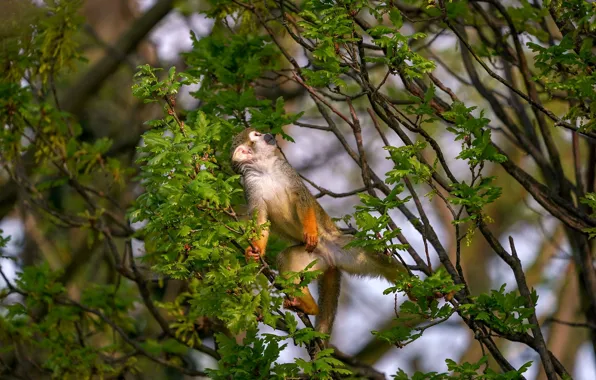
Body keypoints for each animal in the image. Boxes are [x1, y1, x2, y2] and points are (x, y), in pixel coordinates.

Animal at [230, 128, 408, 336]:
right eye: (257, 135)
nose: (268, 134)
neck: (264, 169)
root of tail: (331, 260)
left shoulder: (286, 169)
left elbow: (302, 199)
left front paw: (310, 231)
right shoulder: (250, 186)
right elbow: (260, 221)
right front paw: (255, 250)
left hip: (346, 247)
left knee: (381, 262)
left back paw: (411, 285)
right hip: (314, 258)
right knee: (285, 260)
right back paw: (309, 307)